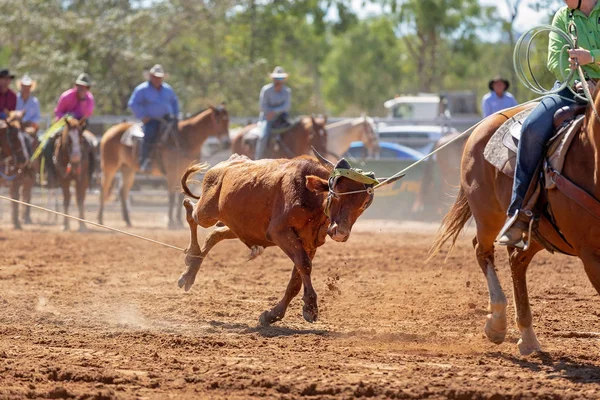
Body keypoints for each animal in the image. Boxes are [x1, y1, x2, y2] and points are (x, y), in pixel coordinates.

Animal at [98, 104, 230, 228]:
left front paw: (179, 221)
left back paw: (127, 221)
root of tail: (110, 131)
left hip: (128, 169)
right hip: (109, 167)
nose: (226, 142)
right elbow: (171, 195)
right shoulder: (171, 173)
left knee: (123, 192)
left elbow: (181, 195)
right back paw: (100, 219)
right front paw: (171, 222)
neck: (184, 138)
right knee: (103, 188)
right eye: (218, 120)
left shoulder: (184, 173)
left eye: (227, 121)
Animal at [428, 94, 600, 356]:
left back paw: (527, 336)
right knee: (483, 251)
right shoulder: (590, 256)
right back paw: (497, 323)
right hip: (487, 216)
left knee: (516, 260)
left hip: (539, 233)